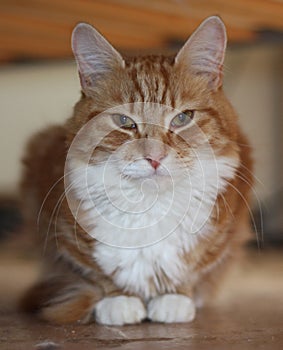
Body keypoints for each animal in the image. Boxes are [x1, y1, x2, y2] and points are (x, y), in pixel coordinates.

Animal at [21, 16, 254, 326]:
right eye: (124, 121)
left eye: (182, 118)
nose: (154, 157)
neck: (149, 207)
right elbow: (98, 272)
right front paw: (118, 299)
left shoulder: (226, 230)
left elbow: (197, 267)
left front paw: (175, 297)